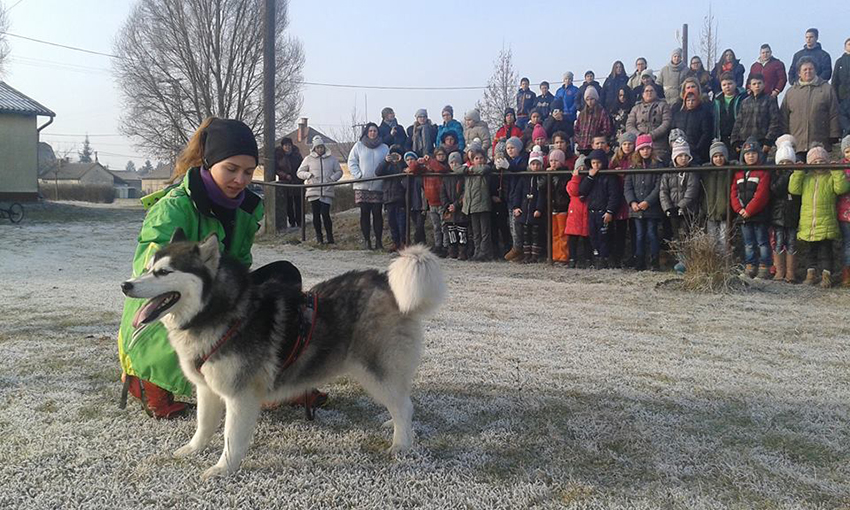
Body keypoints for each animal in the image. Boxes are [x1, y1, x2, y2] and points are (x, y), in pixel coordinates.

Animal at [124, 229, 450, 480]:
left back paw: (400, 444)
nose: (126, 285)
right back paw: (393, 426)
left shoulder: (240, 395)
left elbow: (231, 438)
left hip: (375, 371)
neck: (220, 313)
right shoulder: (207, 387)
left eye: (164, 272)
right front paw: (192, 450)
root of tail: (384, 280)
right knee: (401, 402)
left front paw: (223, 469)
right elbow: (203, 425)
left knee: (404, 405)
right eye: (147, 267)